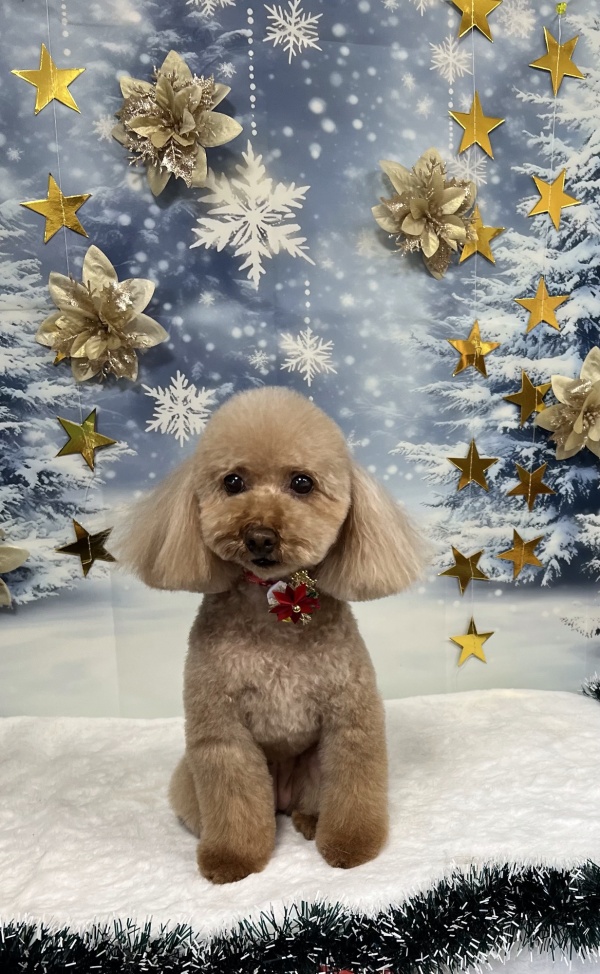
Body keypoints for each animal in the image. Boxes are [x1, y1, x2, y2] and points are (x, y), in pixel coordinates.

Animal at [115, 386, 425, 884]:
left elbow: (355, 785)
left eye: (302, 483)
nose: (259, 535)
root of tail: (280, 799)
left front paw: (351, 845)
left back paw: (312, 820)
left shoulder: (349, 718)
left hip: (311, 765)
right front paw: (232, 858)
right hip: (190, 777)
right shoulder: (221, 730)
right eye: (232, 482)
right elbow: (232, 794)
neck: (273, 605)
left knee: (314, 800)